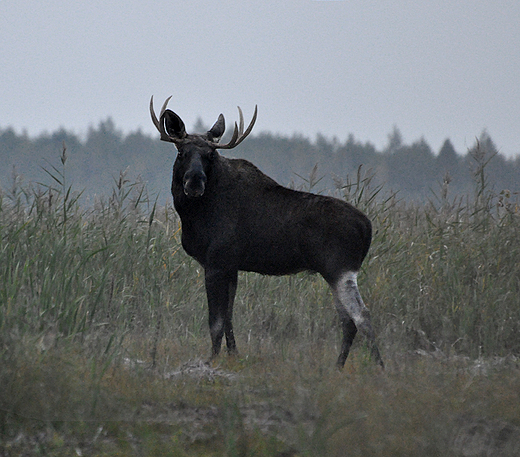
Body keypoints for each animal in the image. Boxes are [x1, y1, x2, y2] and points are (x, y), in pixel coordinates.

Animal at [149, 97, 382, 366]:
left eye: (210, 154)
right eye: (181, 152)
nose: (195, 182)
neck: (192, 215)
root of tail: (367, 227)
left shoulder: (215, 262)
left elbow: (215, 322)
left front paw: (211, 360)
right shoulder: (231, 266)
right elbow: (228, 317)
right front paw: (233, 355)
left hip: (340, 268)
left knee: (362, 316)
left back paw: (378, 367)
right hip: (334, 272)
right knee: (348, 321)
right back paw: (338, 367)